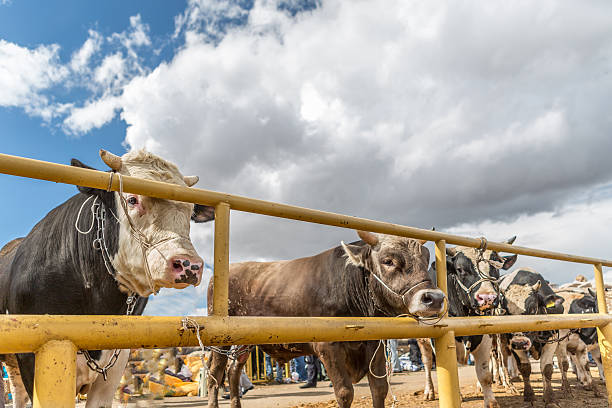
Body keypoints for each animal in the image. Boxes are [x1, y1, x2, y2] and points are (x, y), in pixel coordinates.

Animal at [206, 231, 444, 408]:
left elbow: (379, 389)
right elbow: (345, 392)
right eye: (388, 260)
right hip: (220, 340)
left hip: (244, 342)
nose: (434, 298)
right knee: (215, 375)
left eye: (426, 259)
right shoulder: (328, 346)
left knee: (233, 371)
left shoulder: (373, 344)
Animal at [416, 239, 516, 408]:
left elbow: (484, 374)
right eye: (460, 269)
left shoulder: (485, 338)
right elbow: (451, 371)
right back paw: (429, 391)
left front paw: (491, 401)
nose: (487, 298)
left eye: (495, 267)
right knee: (428, 363)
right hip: (422, 340)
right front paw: (457, 395)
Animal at [500, 268, 568, 408]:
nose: (520, 343)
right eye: (507, 313)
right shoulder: (512, 342)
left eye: (532, 309)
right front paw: (529, 396)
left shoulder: (552, 339)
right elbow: (525, 368)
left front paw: (550, 398)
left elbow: (546, 368)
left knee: (562, 362)